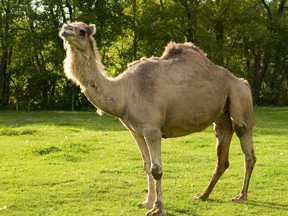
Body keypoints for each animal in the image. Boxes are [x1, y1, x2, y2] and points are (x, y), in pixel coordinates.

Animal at [59, 22, 256, 216]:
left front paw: (158, 208)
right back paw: (203, 195)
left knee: (247, 147)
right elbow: (146, 166)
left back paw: (241, 196)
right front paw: (147, 202)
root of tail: (243, 81)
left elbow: (156, 169)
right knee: (222, 151)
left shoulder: (152, 129)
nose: (65, 31)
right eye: (65, 25)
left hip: (240, 97)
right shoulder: (136, 131)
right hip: (221, 115)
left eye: (82, 31)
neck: (123, 92)